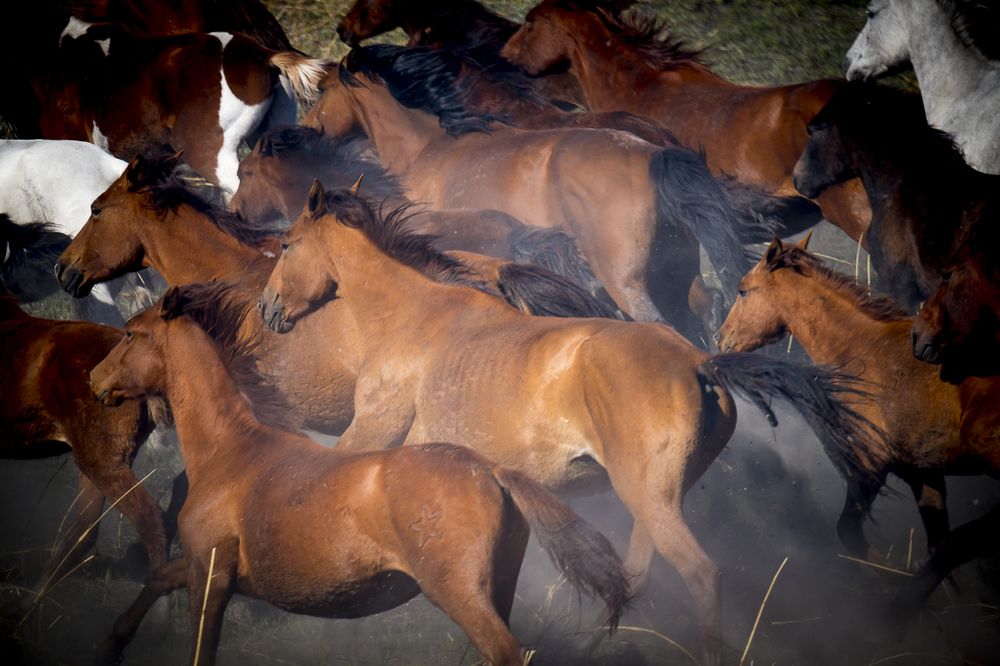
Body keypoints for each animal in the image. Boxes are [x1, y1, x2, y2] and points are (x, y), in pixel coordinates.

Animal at [90, 282, 631, 666]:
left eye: (130, 333)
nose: (94, 378)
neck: (232, 452)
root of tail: (491, 471)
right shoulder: (204, 567)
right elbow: (159, 575)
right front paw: (112, 644)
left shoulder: (212, 574)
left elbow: (201, 644)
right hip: (496, 587)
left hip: (457, 591)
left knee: (506, 653)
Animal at [258, 181, 881, 664]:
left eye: (286, 245)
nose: (267, 309)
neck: (415, 317)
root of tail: (700, 362)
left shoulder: (369, 434)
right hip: (653, 496)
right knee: (636, 575)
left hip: (648, 496)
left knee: (701, 574)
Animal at [304, 45, 760, 343]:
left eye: (322, 89)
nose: (305, 130)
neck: (429, 147)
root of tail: (653, 155)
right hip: (674, 277)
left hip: (627, 284)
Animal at [717, 237, 1000, 561]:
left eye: (743, 290)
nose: (720, 338)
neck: (863, 349)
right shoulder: (923, 475)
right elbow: (940, 545)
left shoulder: (868, 468)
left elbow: (849, 533)